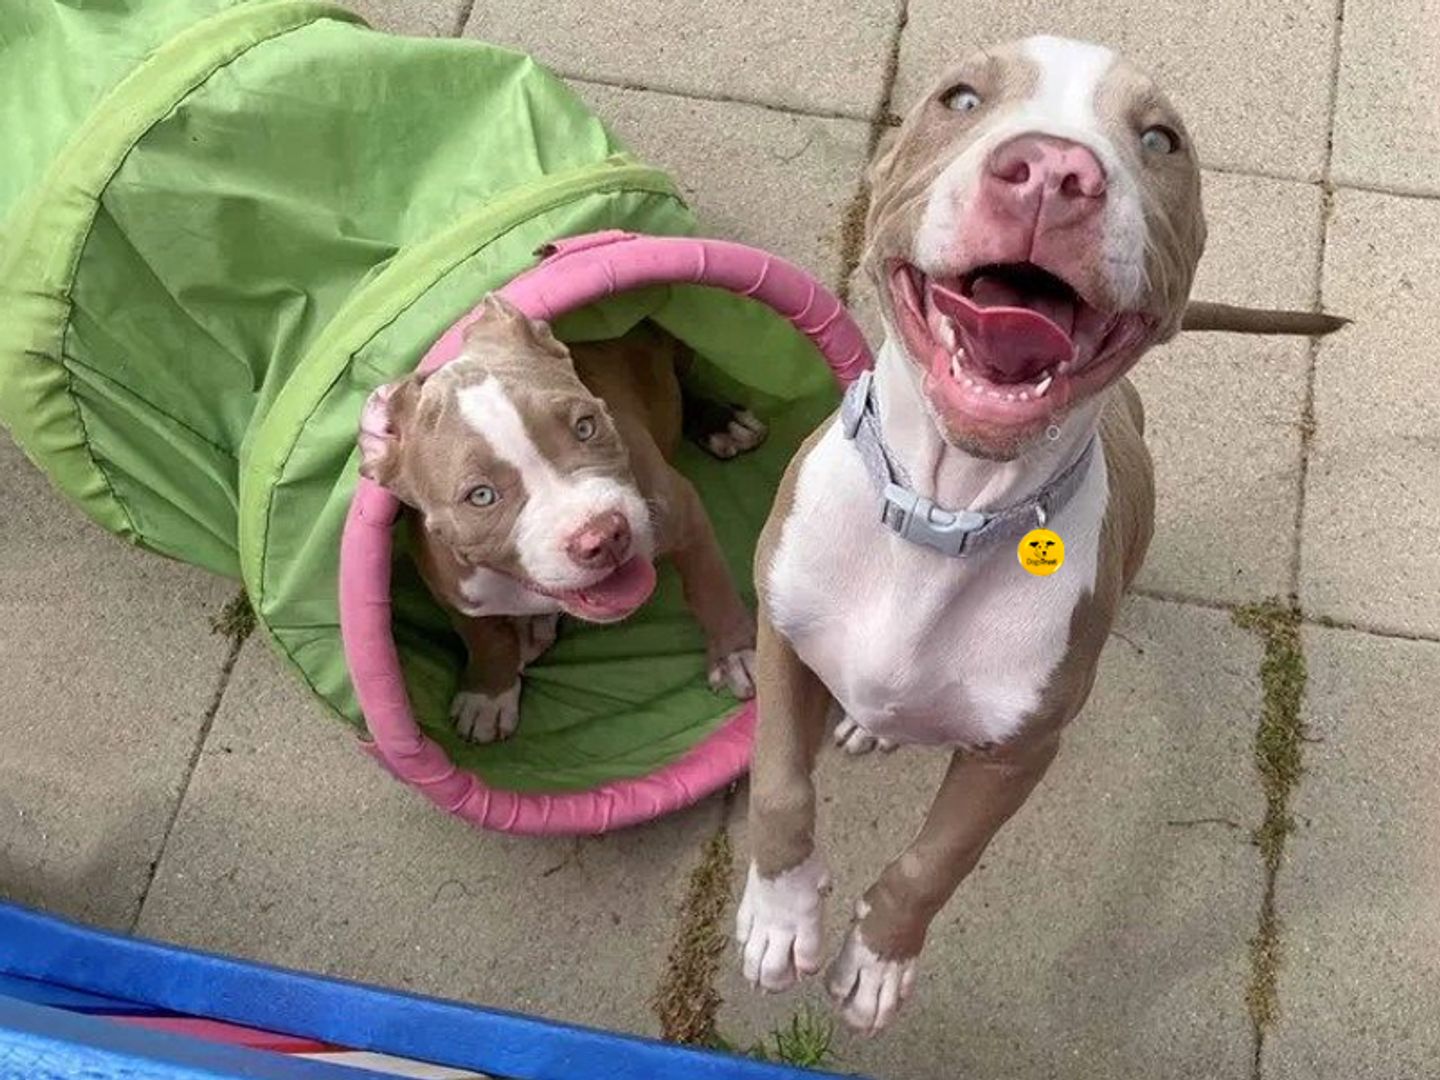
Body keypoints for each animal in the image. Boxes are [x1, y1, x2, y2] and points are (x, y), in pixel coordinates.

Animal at [360, 300, 766, 748]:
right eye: (481, 496)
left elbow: (708, 585)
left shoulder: (679, 510)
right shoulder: (450, 586)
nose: (604, 536)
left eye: (585, 426)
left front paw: (737, 654)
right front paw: (488, 694)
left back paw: (721, 422)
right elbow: (484, 636)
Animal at [737, 36, 1342, 1042]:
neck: (945, 512)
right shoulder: (781, 627)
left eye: (1161, 139)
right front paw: (781, 918)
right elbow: (779, 785)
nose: (1056, 172)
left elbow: (934, 862)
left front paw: (877, 961)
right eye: (959, 97)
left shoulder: (1017, 753)